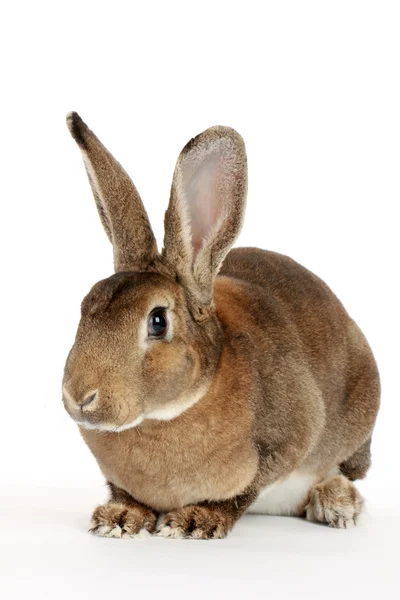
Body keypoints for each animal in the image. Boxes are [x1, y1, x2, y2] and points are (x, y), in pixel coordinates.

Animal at [61, 112, 378, 540]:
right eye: (86, 304)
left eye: (157, 321)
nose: (79, 395)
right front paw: (120, 517)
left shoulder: (290, 437)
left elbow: (243, 491)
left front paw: (195, 520)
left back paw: (337, 504)